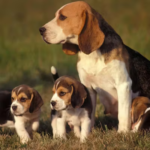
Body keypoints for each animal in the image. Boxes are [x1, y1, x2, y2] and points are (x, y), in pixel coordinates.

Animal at [39, 1, 150, 132]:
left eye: (62, 17)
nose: (40, 30)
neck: (92, 55)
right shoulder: (87, 87)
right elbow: (88, 113)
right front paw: (88, 132)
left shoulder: (123, 85)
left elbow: (123, 114)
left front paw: (122, 133)